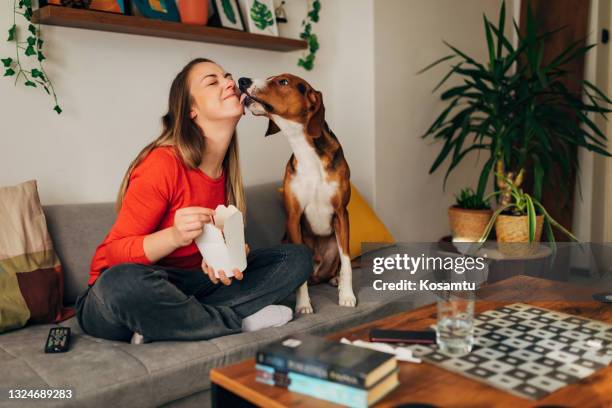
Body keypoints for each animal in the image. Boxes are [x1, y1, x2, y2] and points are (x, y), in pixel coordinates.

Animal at [237, 75, 356, 314]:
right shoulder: (293, 216)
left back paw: (336, 280)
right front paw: (303, 304)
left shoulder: (341, 213)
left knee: (337, 265)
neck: (305, 149)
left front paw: (347, 295)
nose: (242, 80)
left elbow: (347, 261)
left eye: (283, 81)